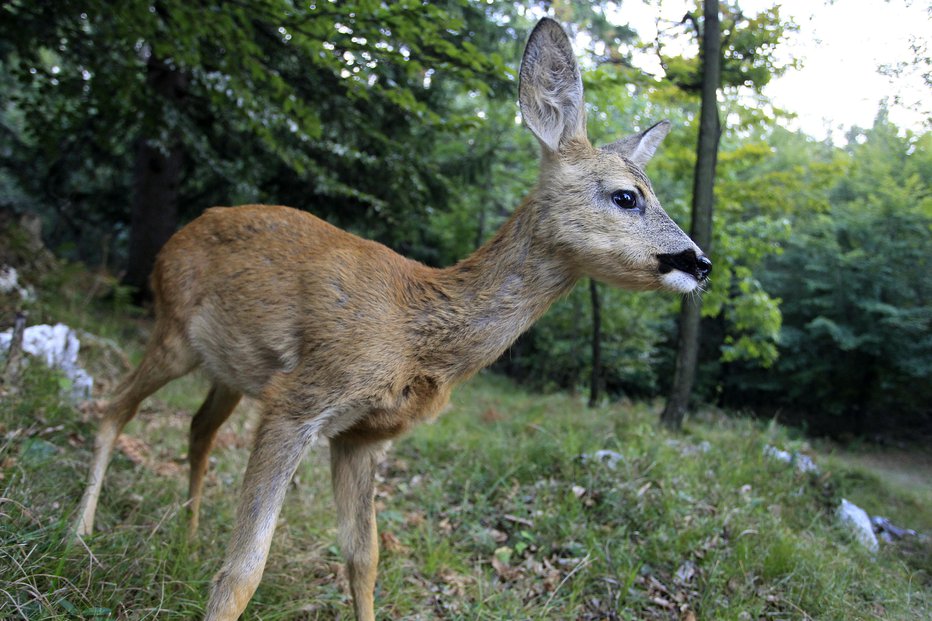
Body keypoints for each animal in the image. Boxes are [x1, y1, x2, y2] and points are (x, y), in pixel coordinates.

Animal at [74, 18, 712, 620]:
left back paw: (185, 536)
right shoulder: (298, 400)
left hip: (230, 370)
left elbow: (364, 558)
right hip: (173, 327)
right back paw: (79, 534)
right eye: (627, 196)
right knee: (112, 407)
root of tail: (172, 241)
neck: (416, 330)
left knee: (198, 428)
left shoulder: (363, 435)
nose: (701, 263)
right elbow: (246, 568)